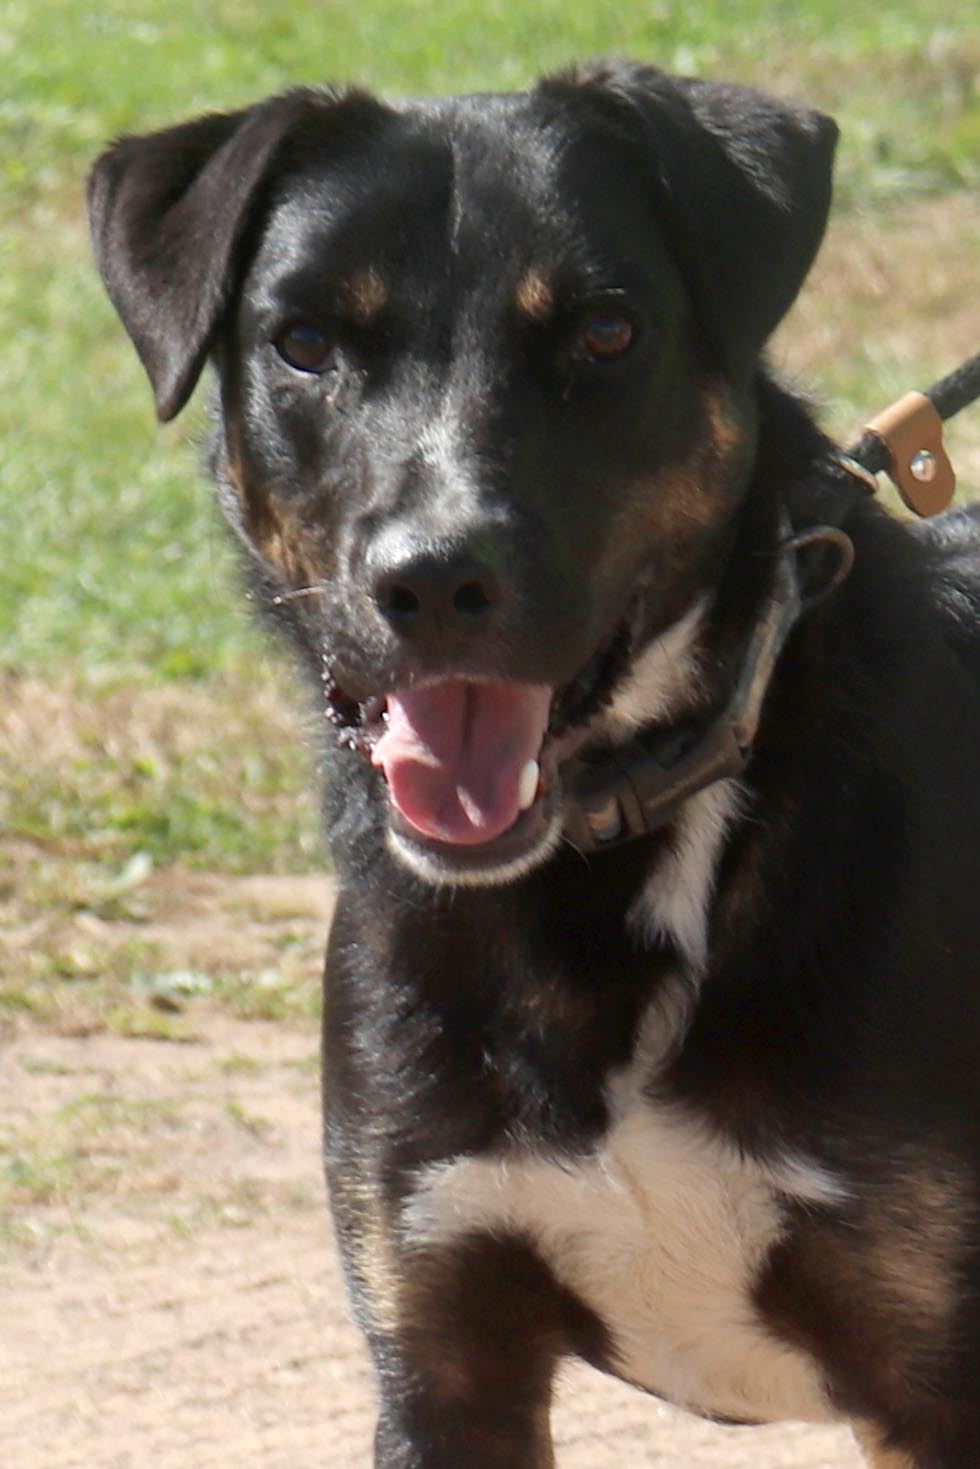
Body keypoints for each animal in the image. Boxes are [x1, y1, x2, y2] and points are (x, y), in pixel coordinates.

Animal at [88, 60, 980, 1469]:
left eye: (606, 333)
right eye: (303, 343)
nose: (433, 580)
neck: (605, 854)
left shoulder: (934, 1375)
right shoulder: (444, 1352)